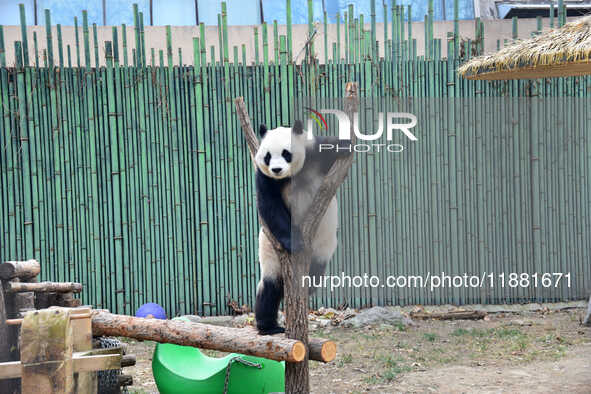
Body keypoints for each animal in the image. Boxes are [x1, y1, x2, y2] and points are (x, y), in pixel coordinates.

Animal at [254, 120, 352, 336]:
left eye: (286, 153)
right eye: (267, 156)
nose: (276, 169)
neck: (290, 176)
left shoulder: (314, 155)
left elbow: (327, 148)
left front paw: (345, 144)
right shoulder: (264, 178)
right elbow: (270, 206)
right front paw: (295, 243)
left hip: (323, 246)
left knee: (316, 271)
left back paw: (307, 286)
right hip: (269, 248)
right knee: (270, 287)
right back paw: (269, 326)